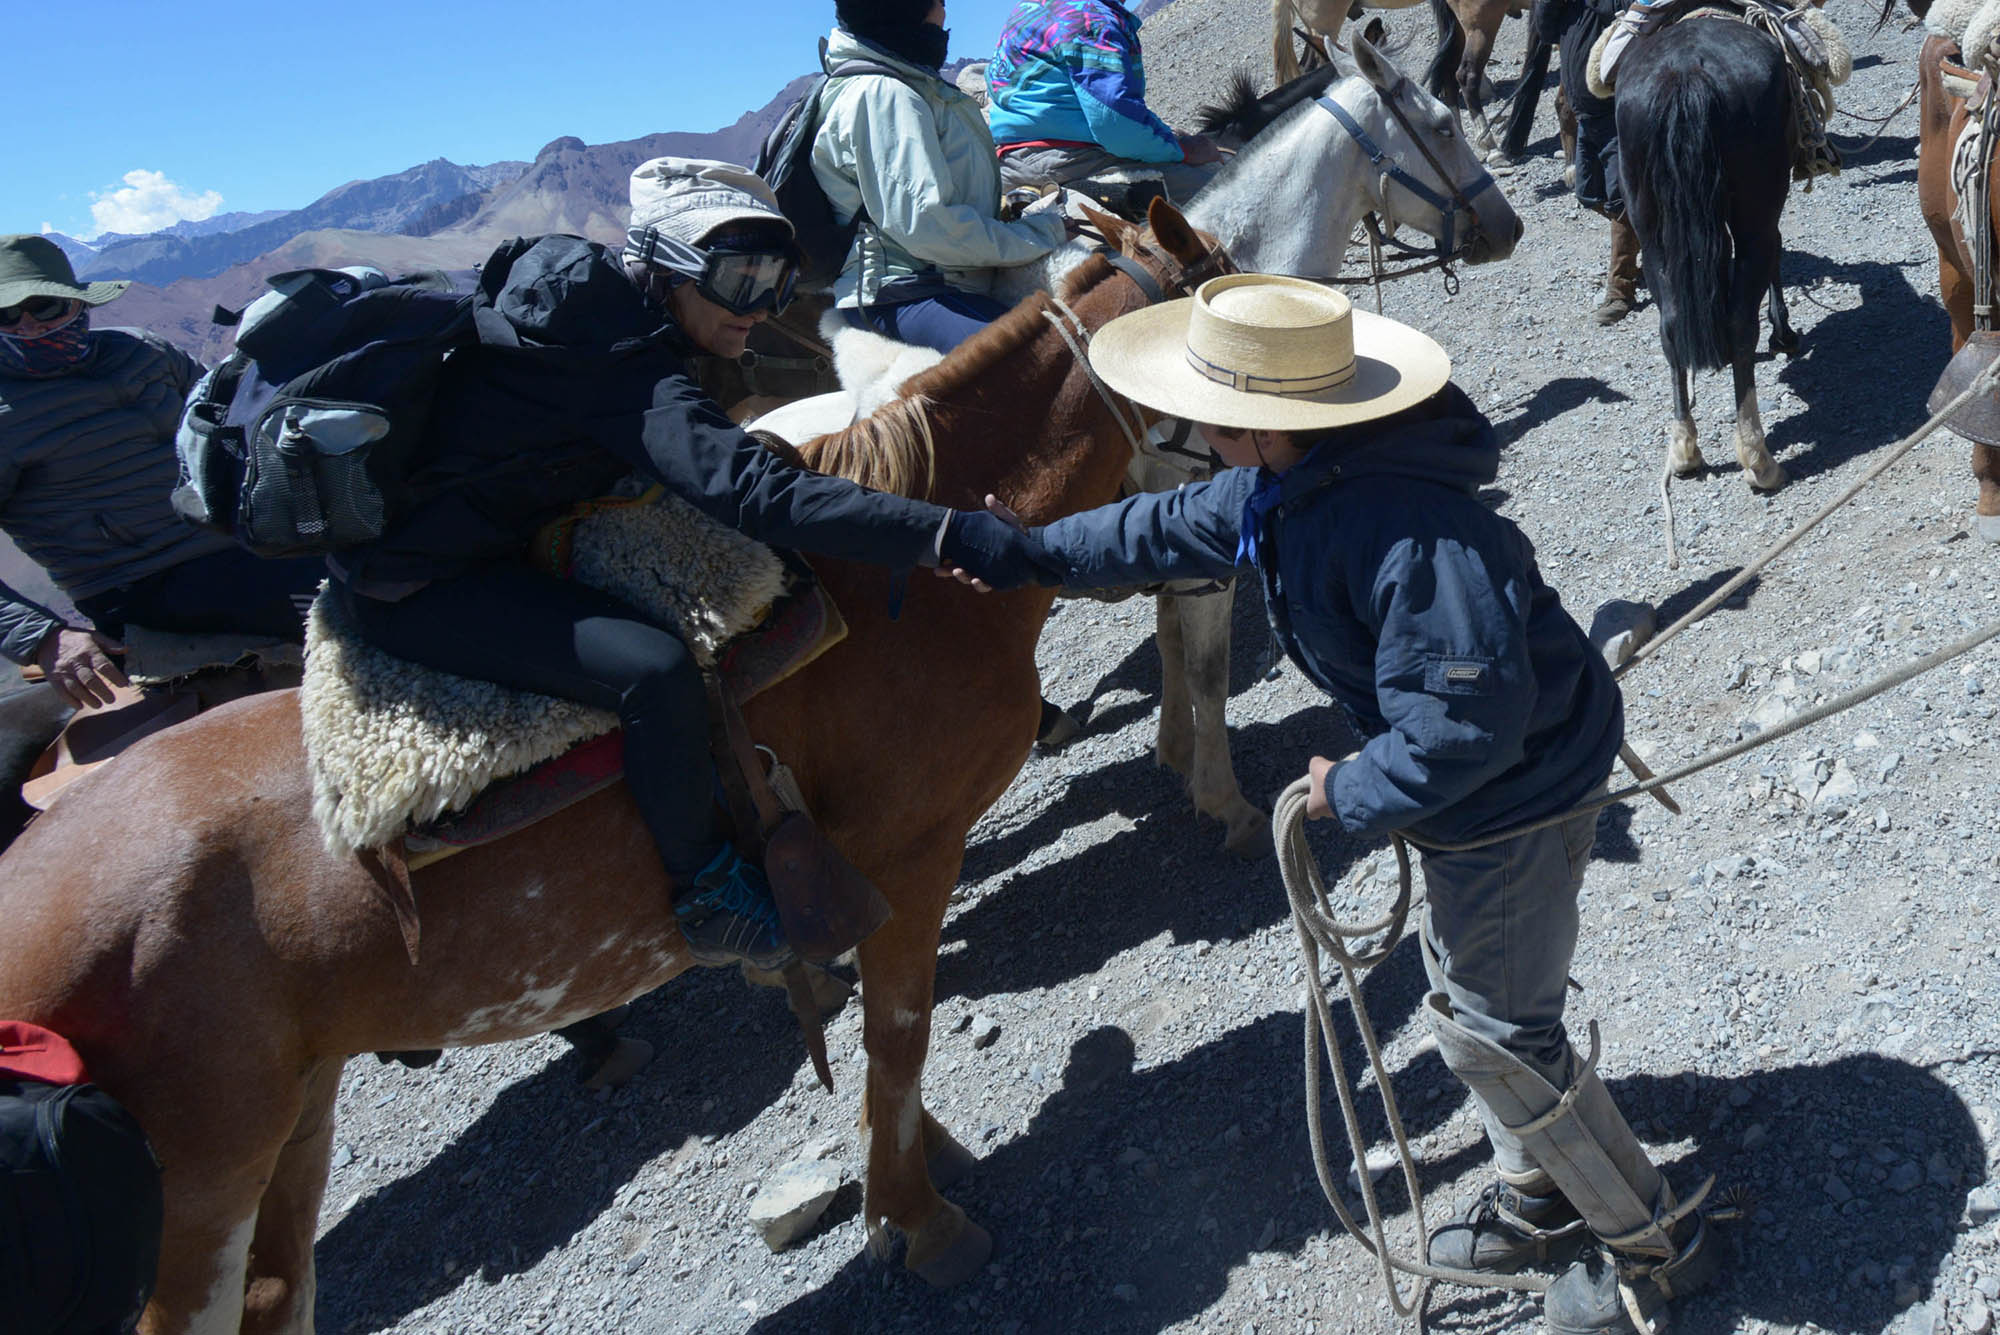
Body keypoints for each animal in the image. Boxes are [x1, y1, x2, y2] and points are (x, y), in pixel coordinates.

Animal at [0, 200, 1216, 1335]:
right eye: (1220, 289)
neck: (897, 591)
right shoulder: (910, 858)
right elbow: (898, 1034)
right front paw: (917, 1219)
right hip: (204, 1184)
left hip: (299, 1112)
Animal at [752, 36, 1512, 859]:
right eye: (1442, 125)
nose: (1506, 226)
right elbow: (1206, 664)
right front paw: (1225, 802)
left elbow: (1172, 637)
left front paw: (1175, 751)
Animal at [1624, 13, 1800, 507]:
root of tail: (1686, 73)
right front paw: (1784, 332)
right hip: (1756, 209)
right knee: (1742, 317)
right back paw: (1759, 460)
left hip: (1650, 228)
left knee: (1670, 324)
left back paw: (1685, 450)